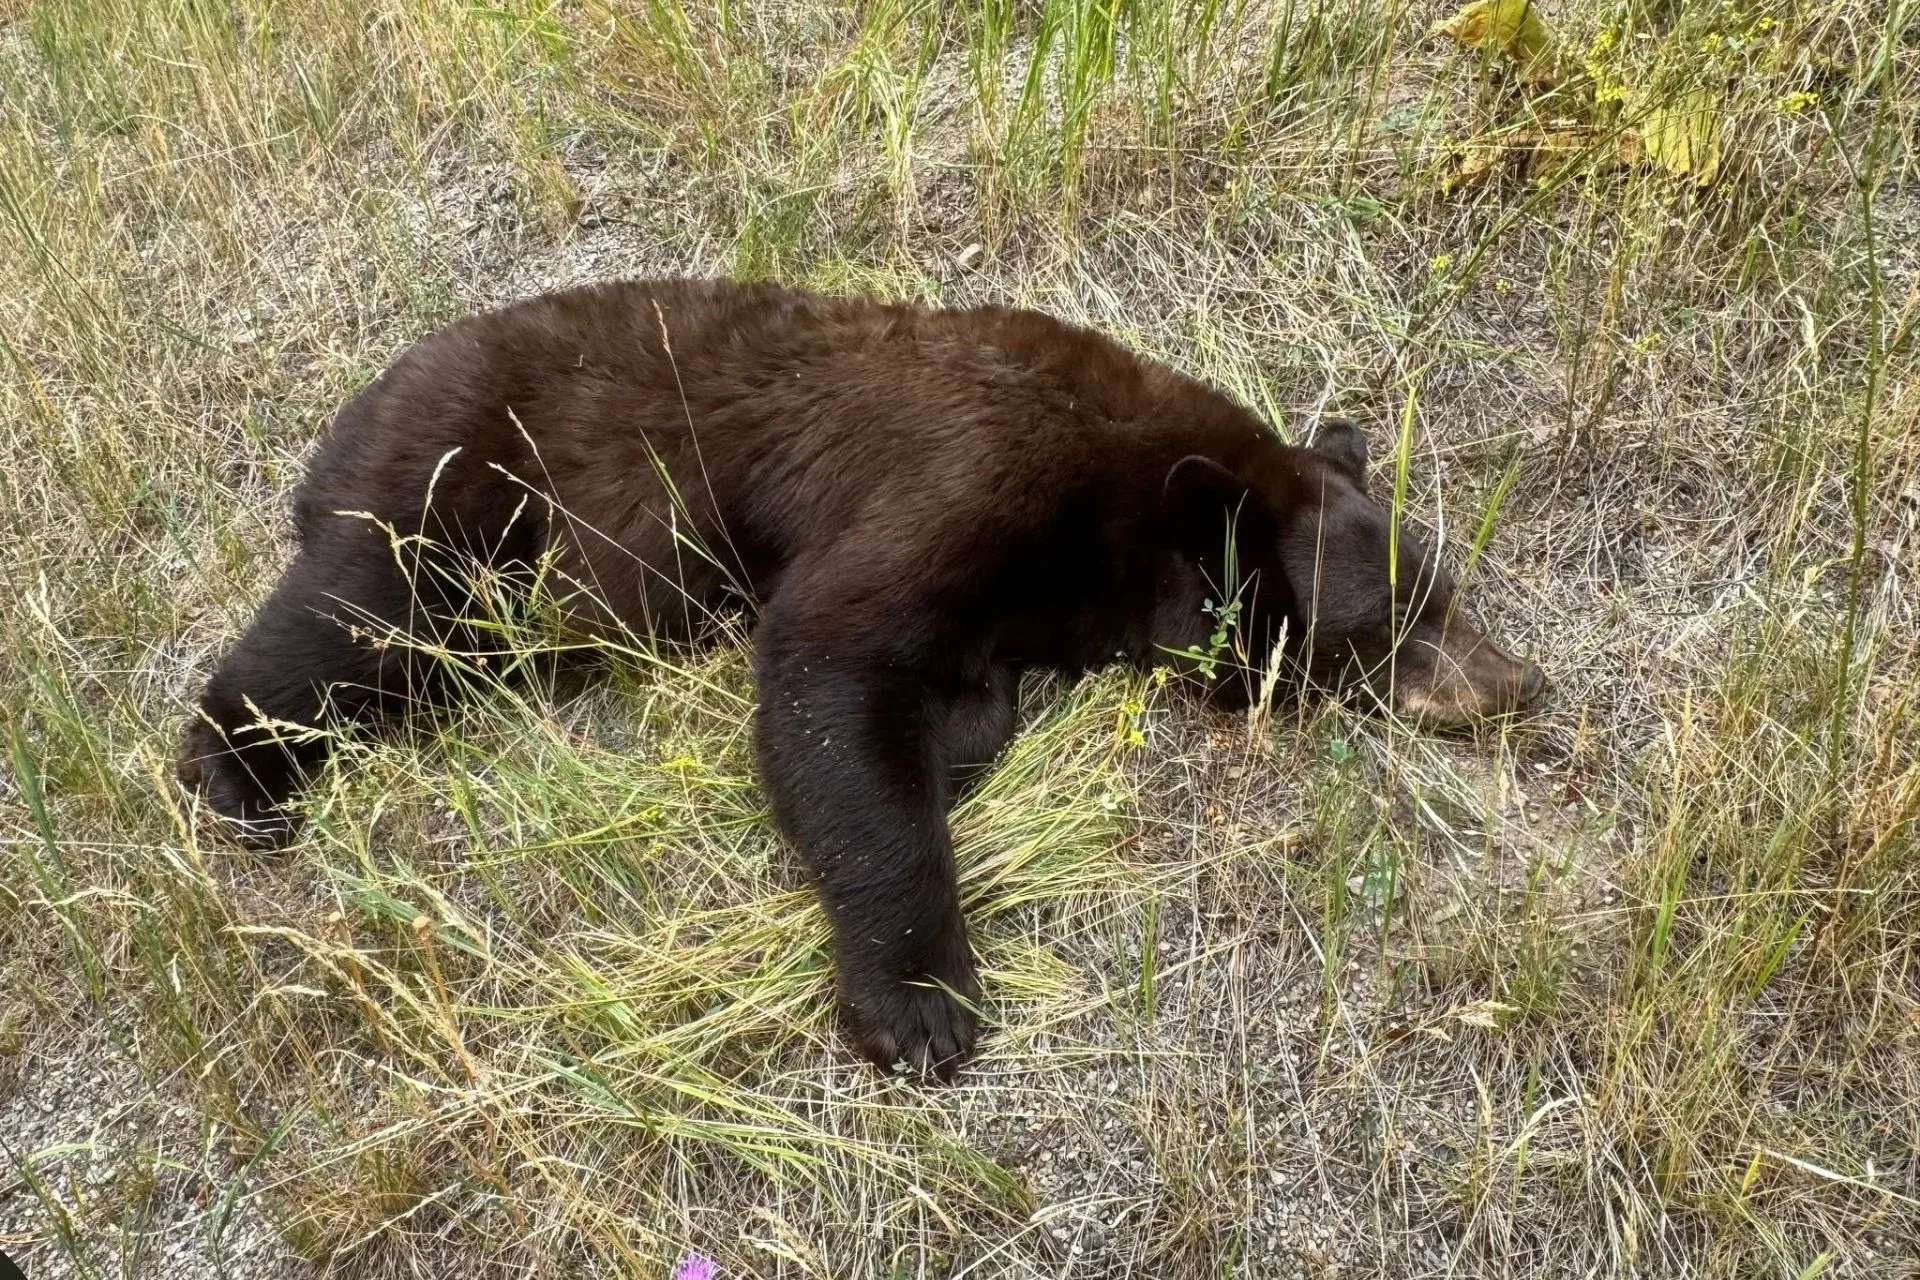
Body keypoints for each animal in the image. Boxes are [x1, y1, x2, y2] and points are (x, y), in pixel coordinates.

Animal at [177, 278, 1546, 1077]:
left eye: (1445, 586)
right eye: (1395, 622)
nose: (1518, 680)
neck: (1110, 505)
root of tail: (347, 419)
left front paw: (966, 721)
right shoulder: (963, 470)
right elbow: (830, 668)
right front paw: (921, 1004)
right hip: (461, 494)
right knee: (350, 621)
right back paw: (237, 771)